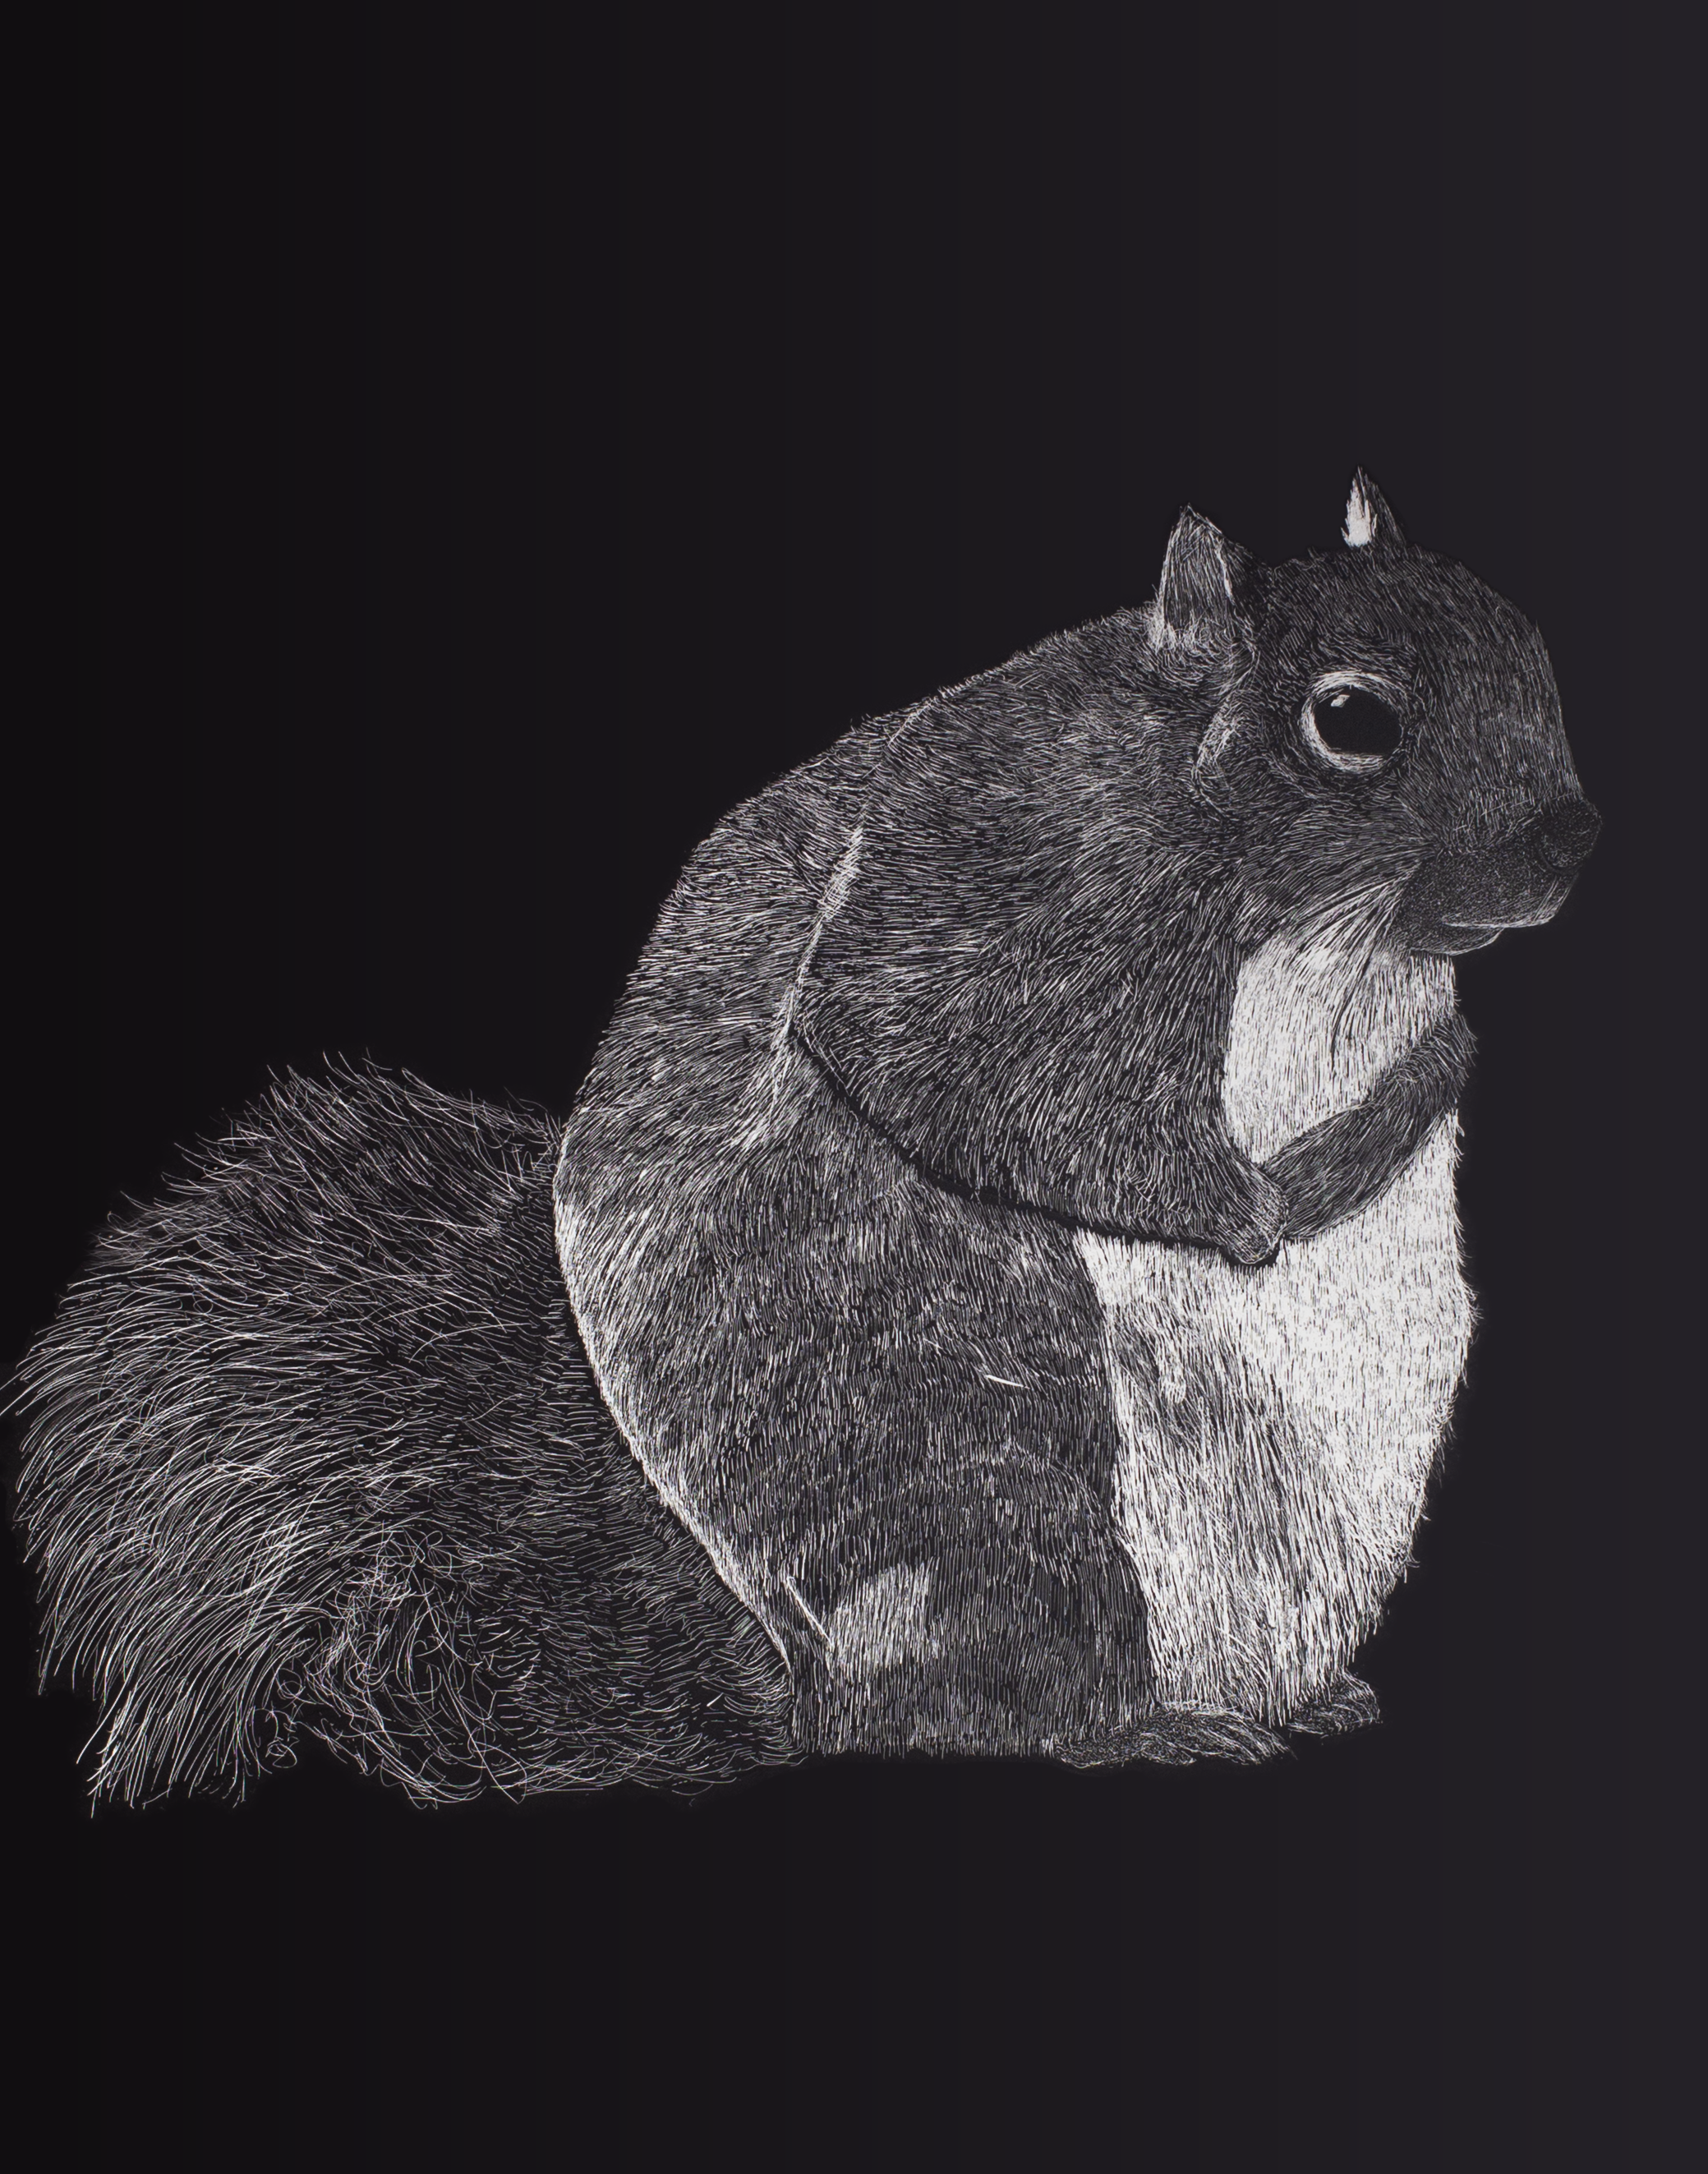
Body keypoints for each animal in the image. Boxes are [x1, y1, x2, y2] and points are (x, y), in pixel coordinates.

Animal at [12, 474, 1598, 1801]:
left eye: (1526, 644)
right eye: (1350, 718)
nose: (1567, 840)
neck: (1328, 937)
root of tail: (789, 1693)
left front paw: (1423, 1086)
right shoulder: (1002, 874)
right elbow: (956, 1069)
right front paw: (1245, 1210)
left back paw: (1307, 1699)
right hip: (990, 1490)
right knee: (973, 1704)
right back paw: (1145, 1727)